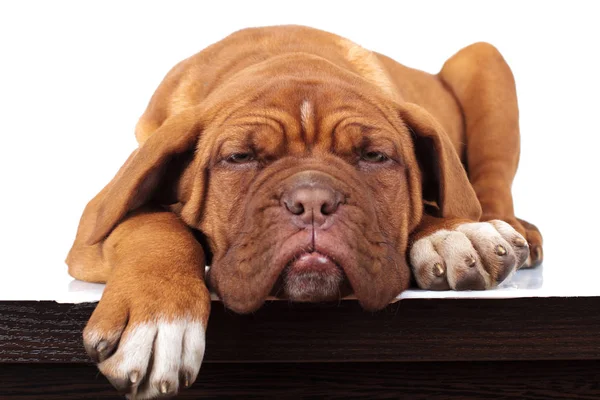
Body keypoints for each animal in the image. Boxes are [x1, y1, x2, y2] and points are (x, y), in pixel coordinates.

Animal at [65, 25, 544, 400]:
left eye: (374, 156)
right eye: (239, 157)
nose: (312, 201)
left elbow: (435, 204)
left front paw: (453, 232)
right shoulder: (93, 227)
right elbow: (151, 222)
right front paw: (160, 315)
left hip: (483, 60)